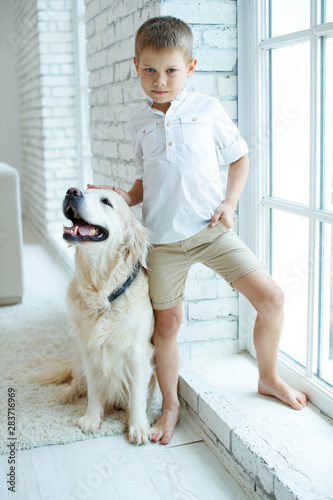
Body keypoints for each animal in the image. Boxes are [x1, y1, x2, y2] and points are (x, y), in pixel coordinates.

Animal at [26, 188, 154, 446]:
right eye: (83, 190)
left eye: (106, 201)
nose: (71, 191)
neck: (102, 293)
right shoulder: (89, 350)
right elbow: (94, 388)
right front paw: (92, 418)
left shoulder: (137, 354)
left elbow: (136, 394)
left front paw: (138, 427)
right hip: (77, 355)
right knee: (77, 379)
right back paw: (67, 394)